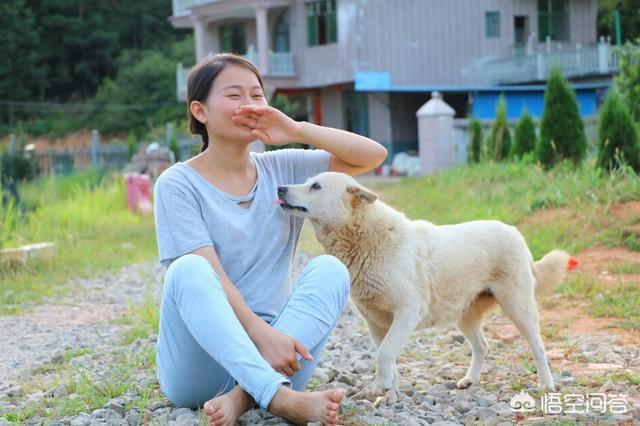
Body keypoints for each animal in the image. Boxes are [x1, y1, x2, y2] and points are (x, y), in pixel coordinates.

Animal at [276, 171, 568, 402]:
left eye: (316, 186)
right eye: (306, 181)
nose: (280, 188)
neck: (364, 237)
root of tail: (515, 232)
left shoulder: (407, 311)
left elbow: (385, 353)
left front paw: (381, 387)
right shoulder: (376, 322)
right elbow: (387, 358)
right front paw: (390, 395)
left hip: (517, 305)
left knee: (538, 345)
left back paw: (546, 384)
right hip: (463, 315)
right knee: (482, 346)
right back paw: (470, 380)